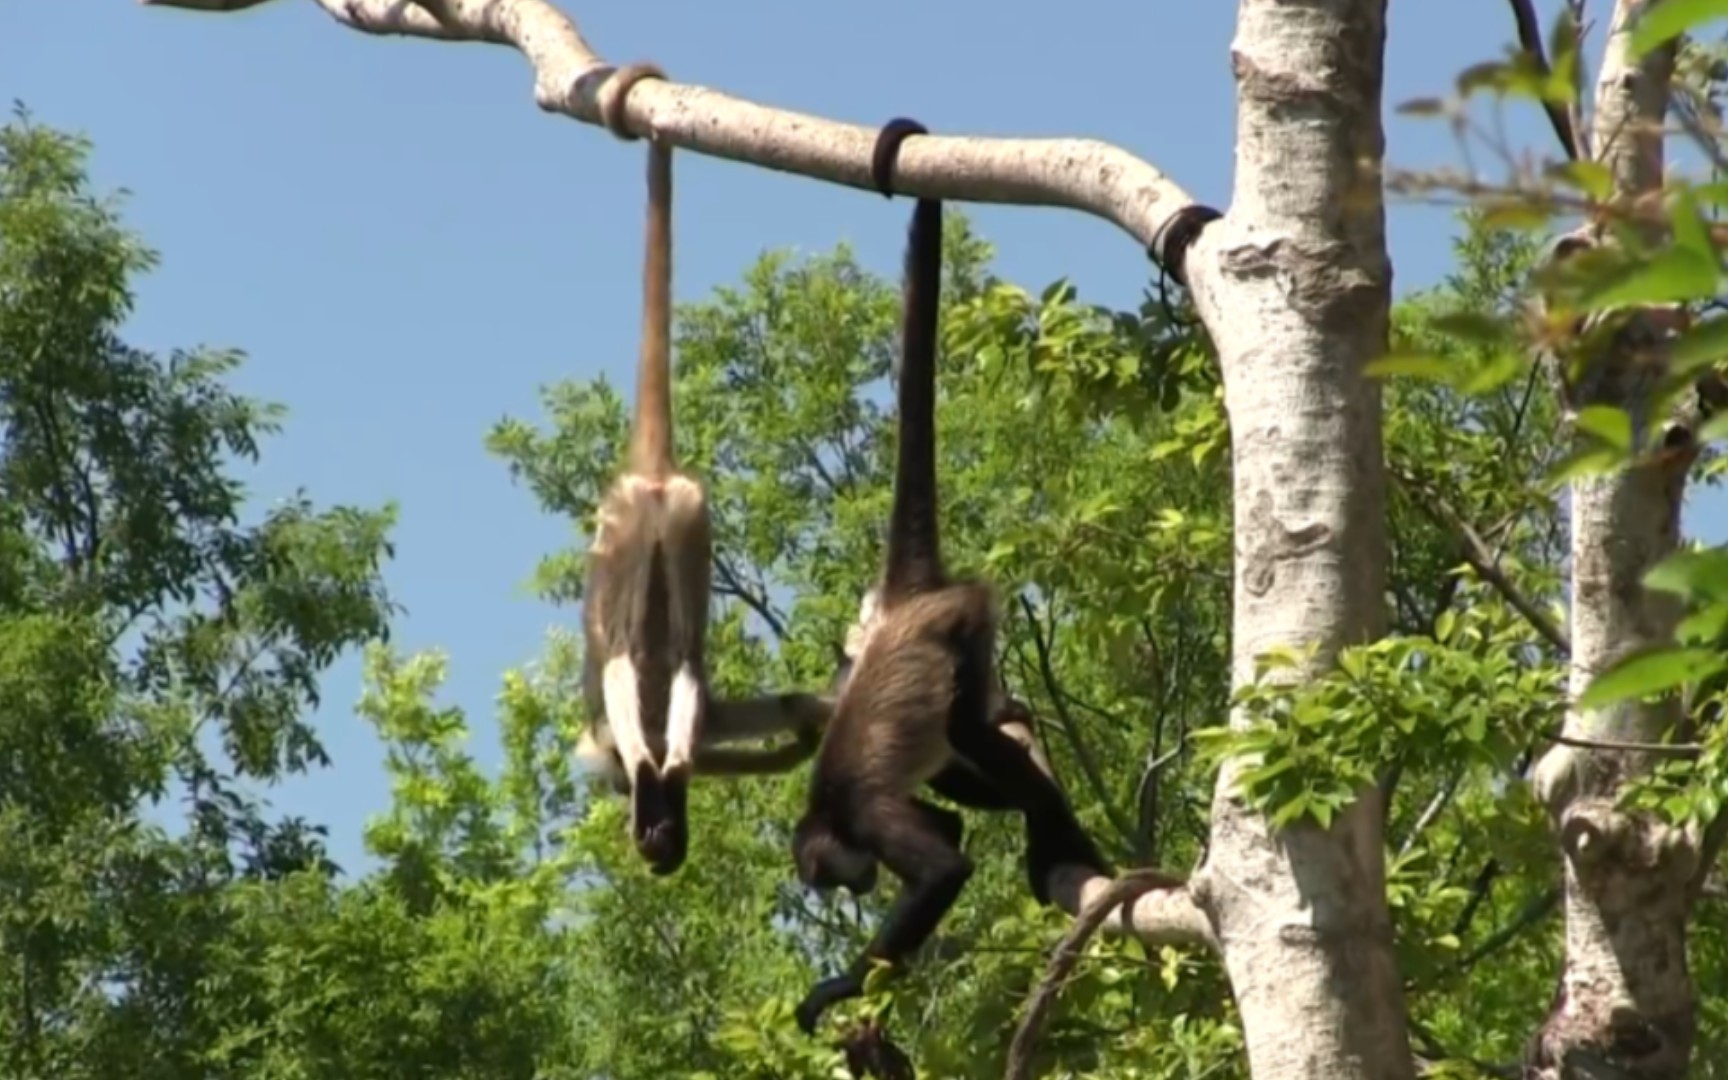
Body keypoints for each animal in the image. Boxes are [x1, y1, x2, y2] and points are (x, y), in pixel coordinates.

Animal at [580, 63, 836, 877]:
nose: (658, 846)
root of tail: (656, 473)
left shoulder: (609, 758)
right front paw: (805, 724)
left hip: (627, 524)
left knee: (621, 645)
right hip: (689, 518)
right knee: (686, 650)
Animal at [791, 115, 1112, 1029]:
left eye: (830, 877)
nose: (853, 888)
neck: (826, 808)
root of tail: (910, 598)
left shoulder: (863, 812)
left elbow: (945, 869)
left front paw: (840, 985)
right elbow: (958, 835)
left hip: (965, 627)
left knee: (972, 735)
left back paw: (1053, 838)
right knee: (971, 765)